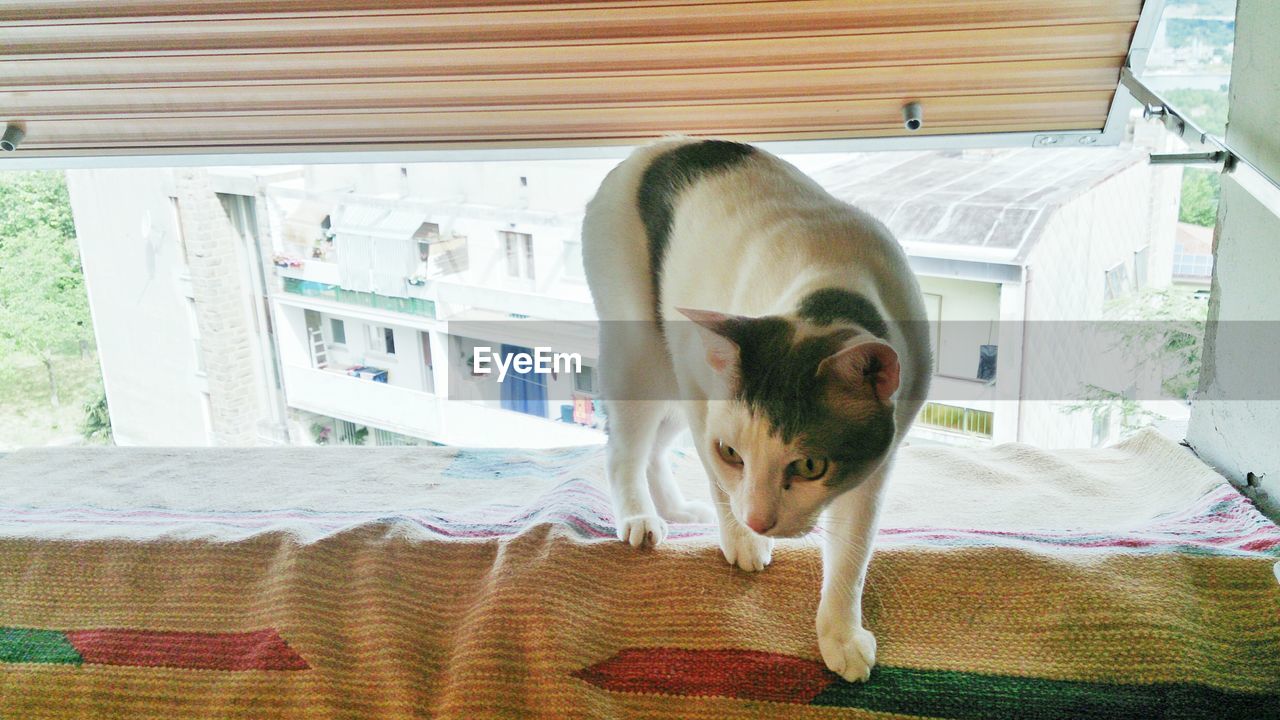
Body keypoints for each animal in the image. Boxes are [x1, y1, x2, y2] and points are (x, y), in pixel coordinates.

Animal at [581, 137, 931, 681]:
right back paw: (641, 518)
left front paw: (840, 633)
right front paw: (741, 541)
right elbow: (718, 482)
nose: (760, 522)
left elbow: (852, 549)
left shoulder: (880, 460)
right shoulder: (702, 397)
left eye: (810, 465)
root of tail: (650, 148)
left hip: (670, 372)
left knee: (656, 449)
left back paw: (677, 509)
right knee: (624, 450)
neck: (829, 286)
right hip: (645, 354)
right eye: (732, 453)